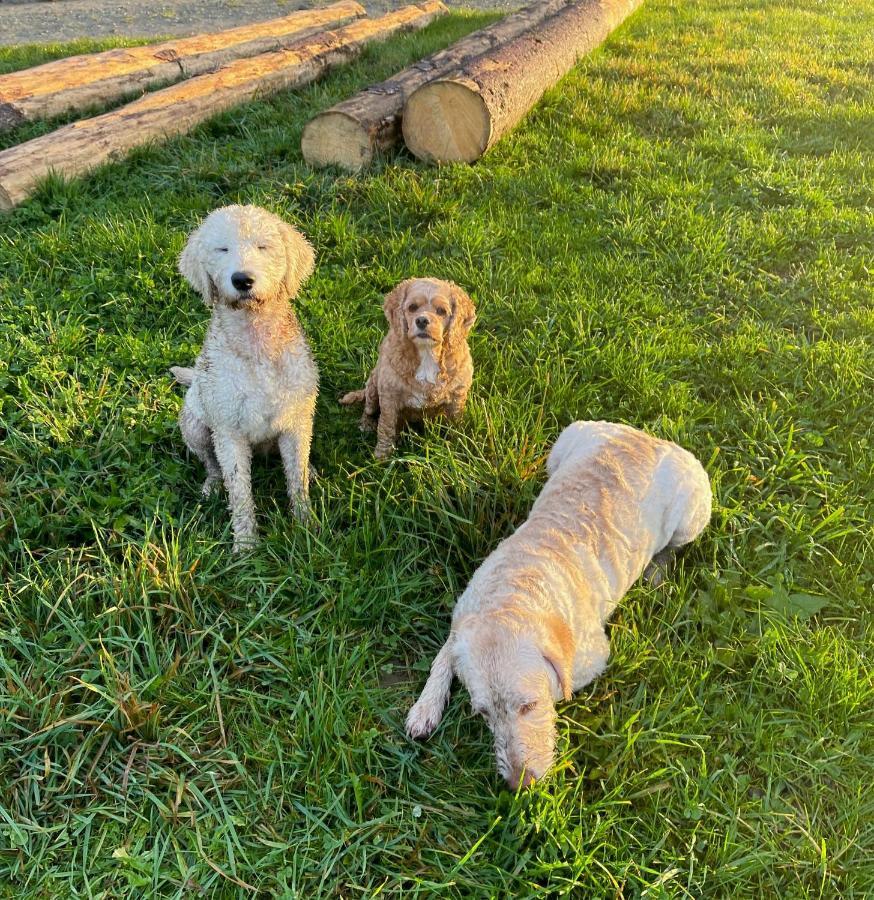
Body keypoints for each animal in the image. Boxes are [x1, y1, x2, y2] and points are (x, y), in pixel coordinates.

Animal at [169, 207, 316, 552]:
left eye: (263, 246)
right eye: (221, 249)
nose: (242, 280)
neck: (256, 341)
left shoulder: (296, 422)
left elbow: (297, 478)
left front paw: (306, 527)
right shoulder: (229, 433)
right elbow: (239, 491)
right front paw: (247, 546)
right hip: (194, 426)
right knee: (211, 464)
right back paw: (211, 486)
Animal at [406, 420, 712, 788]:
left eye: (529, 705)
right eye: (483, 713)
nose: (519, 785)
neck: (511, 593)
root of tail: (646, 436)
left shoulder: (592, 658)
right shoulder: (463, 620)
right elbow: (442, 657)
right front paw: (425, 708)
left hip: (694, 506)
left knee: (675, 545)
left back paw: (657, 569)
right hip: (565, 441)